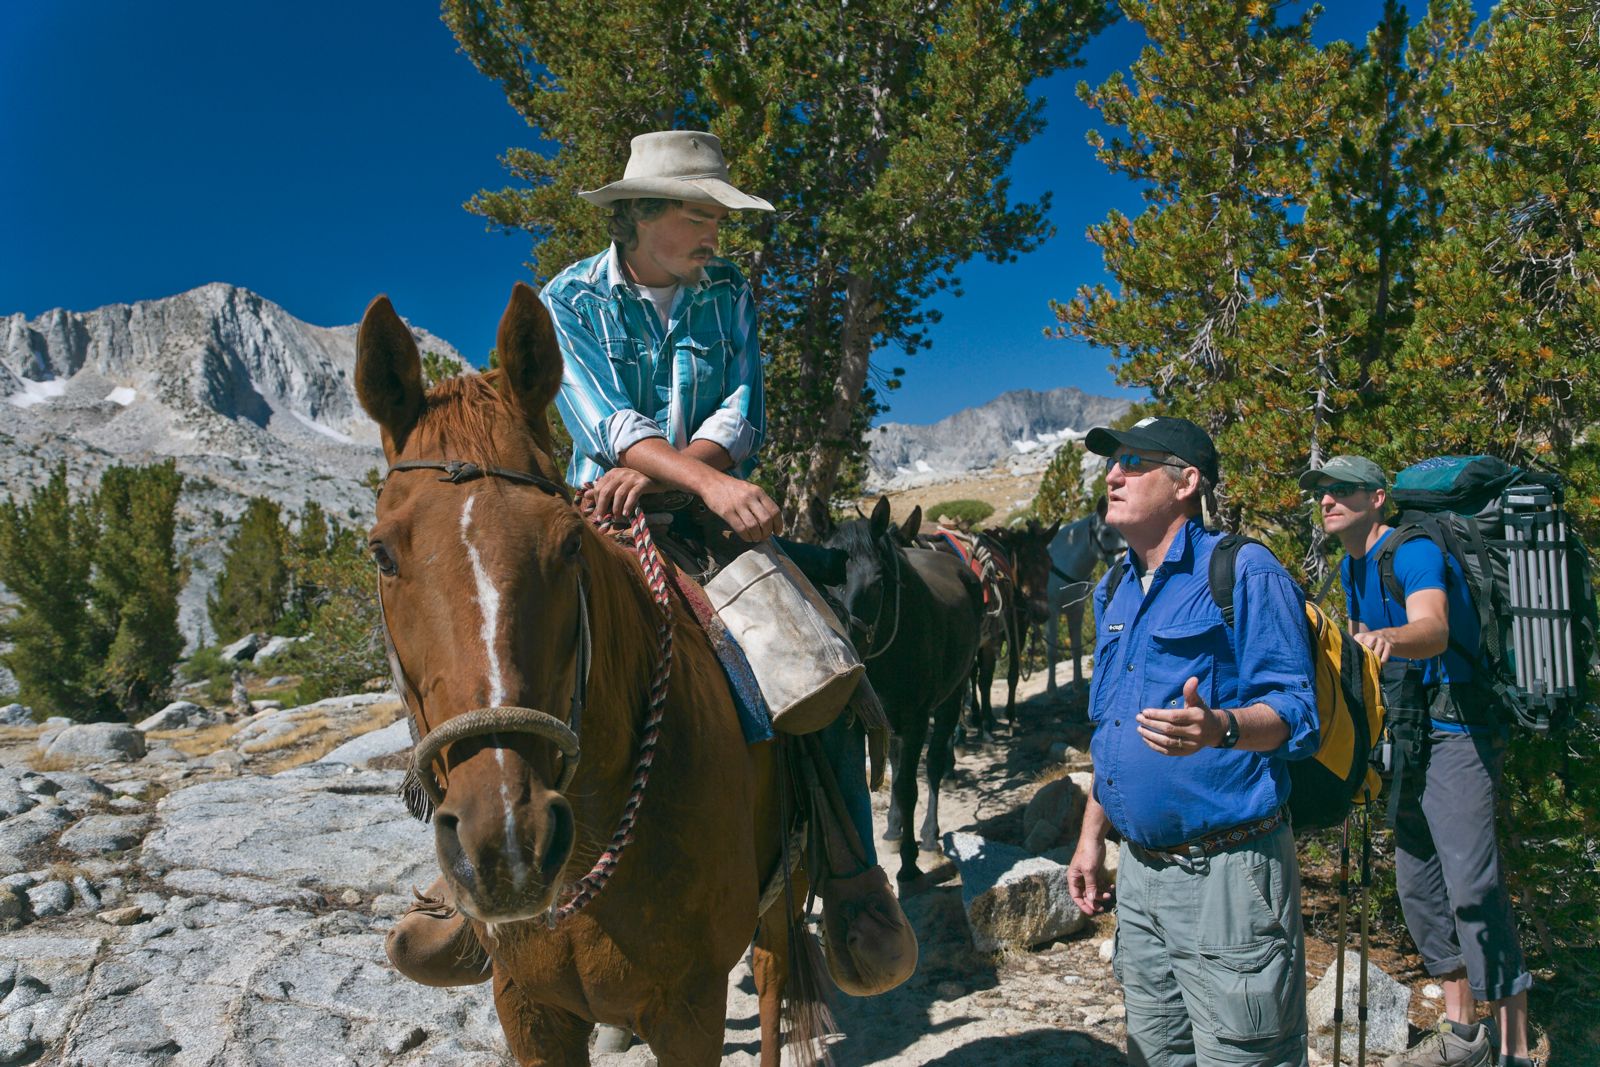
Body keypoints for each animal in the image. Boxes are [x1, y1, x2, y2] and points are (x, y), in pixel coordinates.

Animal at [356, 283, 819, 1067]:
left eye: (571, 541)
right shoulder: (527, 1005)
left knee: (772, 976)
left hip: (787, 886)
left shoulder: (689, 1011)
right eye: (383, 553)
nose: (506, 846)